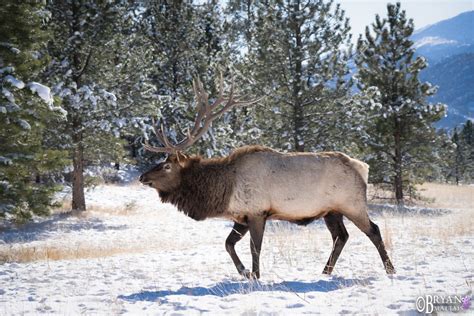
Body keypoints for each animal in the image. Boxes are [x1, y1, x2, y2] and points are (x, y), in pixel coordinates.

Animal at [141, 74, 396, 278]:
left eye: (167, 166)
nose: (143, 176)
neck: (223, 190)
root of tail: (363, 167)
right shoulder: (242, 216)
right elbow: (228, 244)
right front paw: (244, 272)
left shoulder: (257, 212)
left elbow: (255, 248)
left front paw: (255, 275)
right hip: (331, 211)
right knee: (341, 237)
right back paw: (325, 271)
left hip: (352, 204)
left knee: (373, 230)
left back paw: (390, 269)